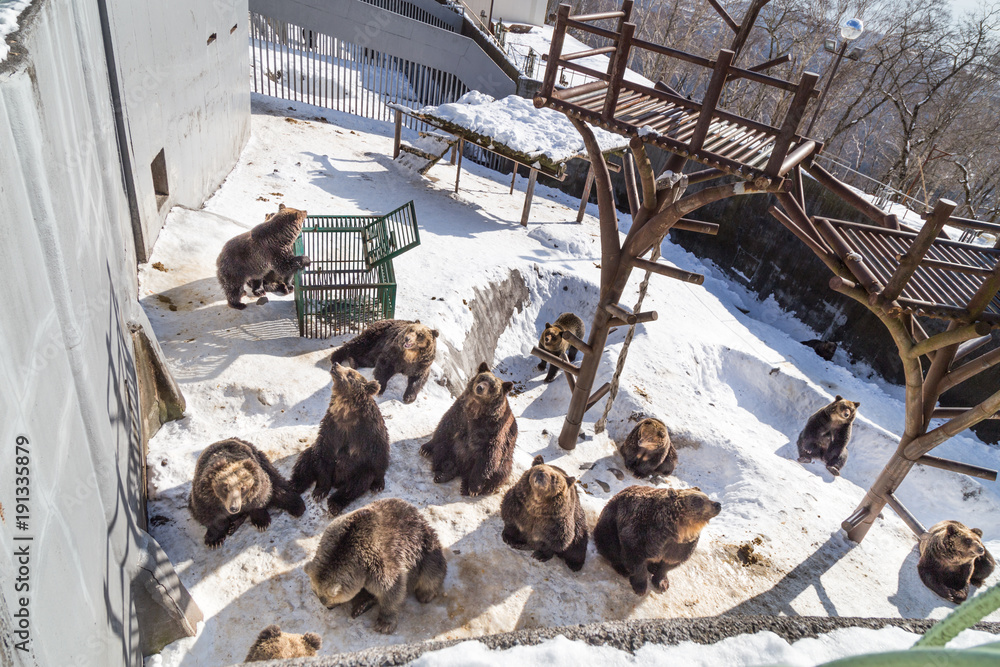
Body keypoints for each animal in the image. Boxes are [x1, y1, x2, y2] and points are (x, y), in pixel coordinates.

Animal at [291, 363, 390, 515]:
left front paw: (378, 484)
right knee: (305, 459)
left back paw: (334, 503)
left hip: (359, 470)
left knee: (355, 485)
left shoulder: (369, 429)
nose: (335, 365)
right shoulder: (331, 427)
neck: (346, 412)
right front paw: (319, 491)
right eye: (346, 368)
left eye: (350, 373)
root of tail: (337, 482)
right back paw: (294, 485)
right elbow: (323, 455)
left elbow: (380, 451)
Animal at [304, 498, 447, 634]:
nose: (328, 607)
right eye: (315, 592)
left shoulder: (377, 562)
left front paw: (384, 623)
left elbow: (391, 589)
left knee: (432, 569)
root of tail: (417, 512)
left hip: (423, 546)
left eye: (330, 598)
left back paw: (425, 594)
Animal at [419, 361, 517, 496]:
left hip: (506, 459)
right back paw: (444, 472)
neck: (476, 408)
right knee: (444, 450)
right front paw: (426, 448)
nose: (480, 388)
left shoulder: (494, 428)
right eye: (482, 378)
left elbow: (489, 455)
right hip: (453, 450)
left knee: (500, 473)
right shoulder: (460, 412)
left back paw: (466, 487)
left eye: (493, 386)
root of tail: (462, 469)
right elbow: (444, 428)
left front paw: (474, 488)